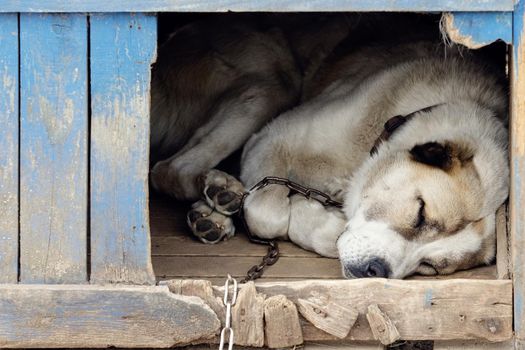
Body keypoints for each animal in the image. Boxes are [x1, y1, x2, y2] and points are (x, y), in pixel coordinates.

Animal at [150, 15, 508, 278]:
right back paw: (221, 190)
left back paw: (212, 212)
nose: (375, 271)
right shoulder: (271, 139)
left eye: (430, 267)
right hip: (270, 85)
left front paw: (315, 216)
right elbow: (268, 213)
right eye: (420, 214)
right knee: (169, 170)